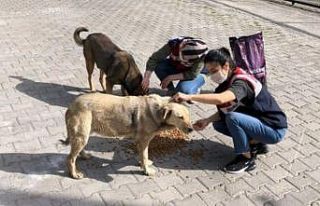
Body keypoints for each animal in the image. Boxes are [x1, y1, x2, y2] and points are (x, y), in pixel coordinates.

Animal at [61, 93, 192, 179]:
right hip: (81, 135)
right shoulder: (143, 140)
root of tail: (72, 105)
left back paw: (84, 156)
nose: (191, 129)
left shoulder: (141, 141)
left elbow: (143, 156)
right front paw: (146, 170)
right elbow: (144, 155)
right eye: (180, 117)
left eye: (188, 115)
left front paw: (143, 164)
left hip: (84, 135)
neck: (158, 110)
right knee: (70, 158)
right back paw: (74, 174)